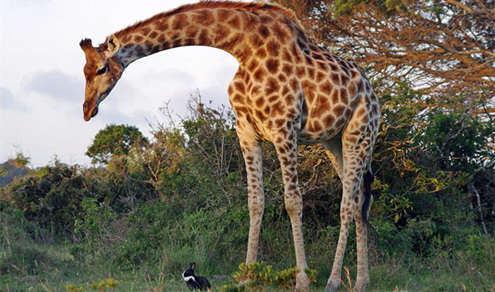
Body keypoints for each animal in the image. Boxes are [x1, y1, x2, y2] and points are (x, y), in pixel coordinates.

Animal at [81, 1, 382, 290]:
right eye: (84, 71)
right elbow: (255, 201)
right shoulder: (246, 131)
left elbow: (293, 201)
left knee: (347, 204)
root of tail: (373, 94)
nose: (87, 109)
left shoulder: (284, 128)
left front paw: (302, 280)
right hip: (334, 142)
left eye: (101, 68)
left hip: (359, 134)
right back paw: (361, 281)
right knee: (359, 200)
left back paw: (334, 281)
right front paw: (247, 277)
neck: (243, 48)